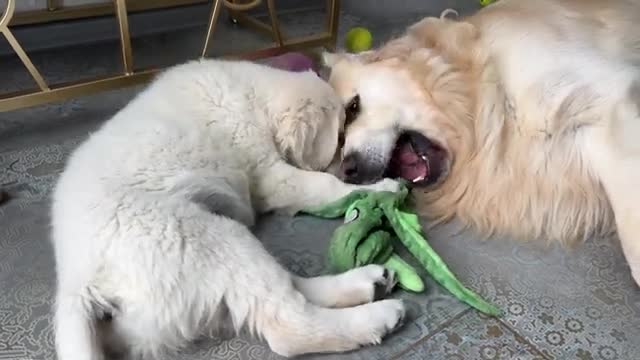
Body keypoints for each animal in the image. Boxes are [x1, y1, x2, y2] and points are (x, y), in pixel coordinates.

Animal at [55, 59, 404, 360]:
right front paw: (384, 189)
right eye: (341, 136)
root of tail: (78, 285)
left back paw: (367, 282)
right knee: (288, 322)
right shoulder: (272, 176)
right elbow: (325, 185)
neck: (256, 98)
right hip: (205, 238)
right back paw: (377, 316)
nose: (353, 170)